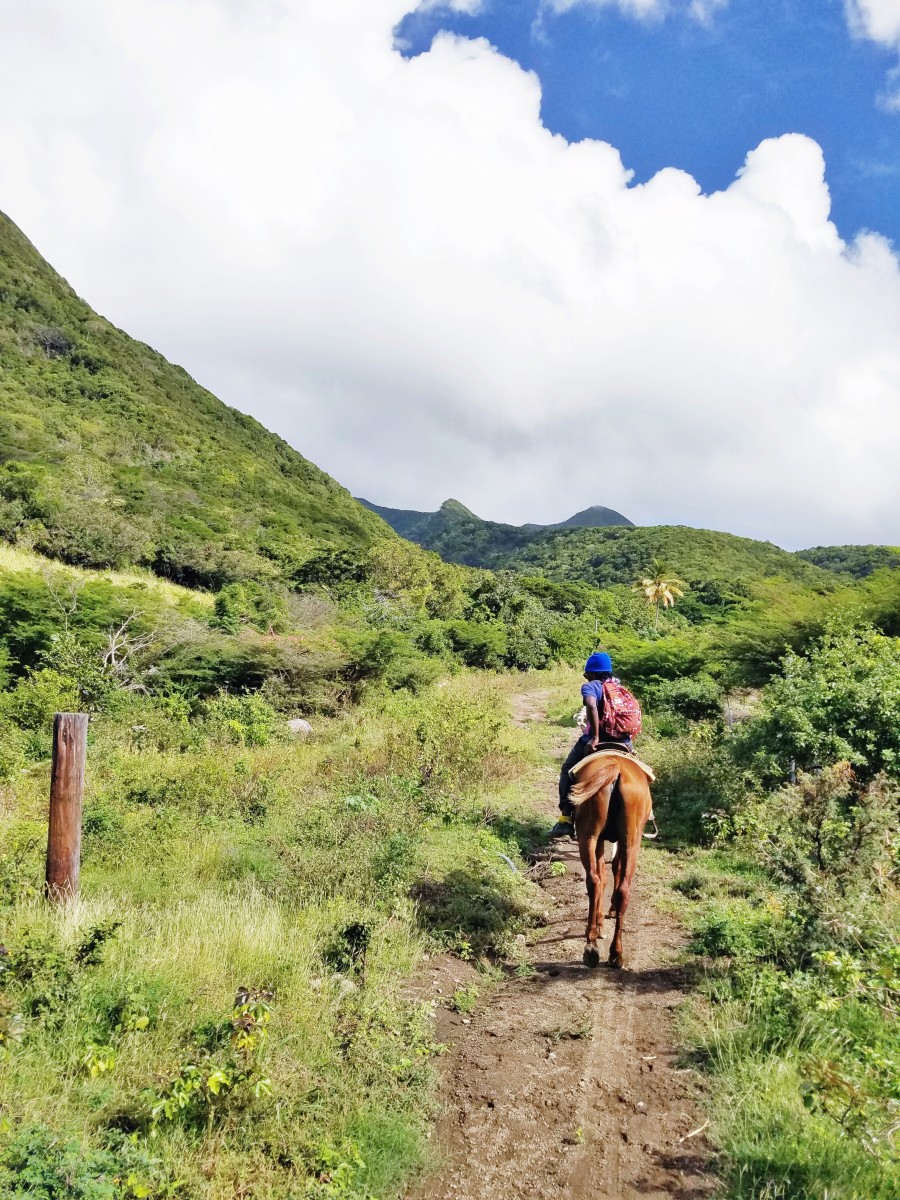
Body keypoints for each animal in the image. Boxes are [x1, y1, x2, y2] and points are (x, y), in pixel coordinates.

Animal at [571, 753, 657, 969]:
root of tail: (616, 767)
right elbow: (613, 870)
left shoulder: (602, 840)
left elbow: (605, 873)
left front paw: (601, 922)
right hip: (631, 841)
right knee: (622, 889)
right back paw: (615, 953)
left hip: (589, 836)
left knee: (595, 880)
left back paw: (592, 945)